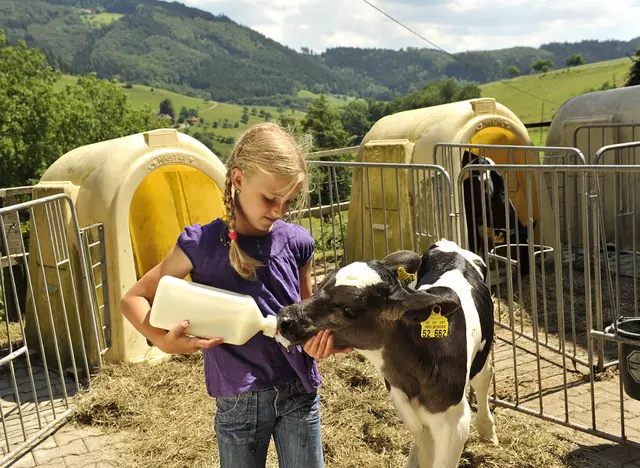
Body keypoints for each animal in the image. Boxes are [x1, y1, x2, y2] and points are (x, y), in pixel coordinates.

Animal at [276, 239, 500, 466]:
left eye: (349, 311)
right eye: (321, 285)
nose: (285, 319)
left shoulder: (454, 421)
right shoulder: (402, 403)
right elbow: (423, 449)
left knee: (483, 380)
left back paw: (487, 430)